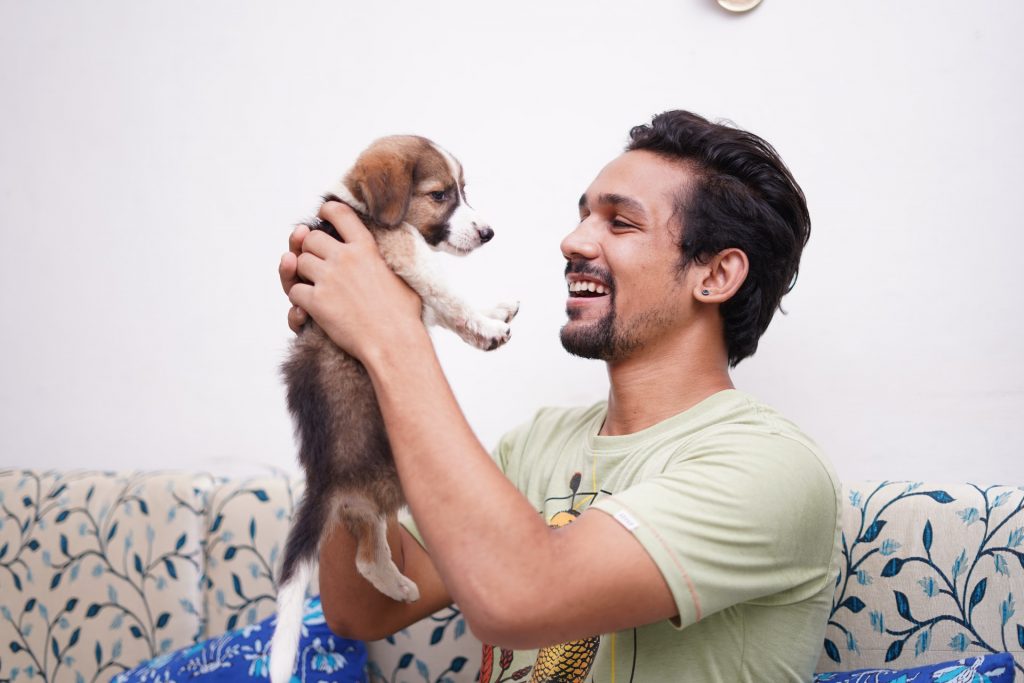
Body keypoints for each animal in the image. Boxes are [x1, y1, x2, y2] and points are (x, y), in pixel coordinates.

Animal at [270, 135, 520, 683]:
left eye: (464, 191)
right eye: (440, 194)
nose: (490, 233)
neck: (362, 209)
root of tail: (326, 481)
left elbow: (445, 311)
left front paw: (492, 314)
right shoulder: (407, 254)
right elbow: (449, 295)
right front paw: (488, 325)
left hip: (369, 507)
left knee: (367, 557)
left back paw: (401, 586)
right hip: (406, 478)